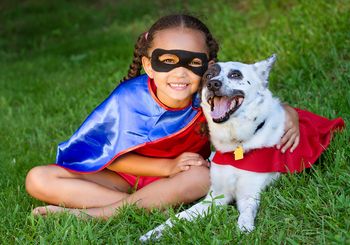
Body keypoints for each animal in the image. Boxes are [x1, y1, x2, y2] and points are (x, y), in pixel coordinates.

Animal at [139, 54, 342, 242]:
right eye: (208, 75)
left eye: (235, 74)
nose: (213, 84)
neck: (237, 144)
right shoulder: (215, 197)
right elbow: (181, 216)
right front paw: (154, 232)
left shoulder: (249, 195)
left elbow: (246, 214)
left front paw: (244, 229)